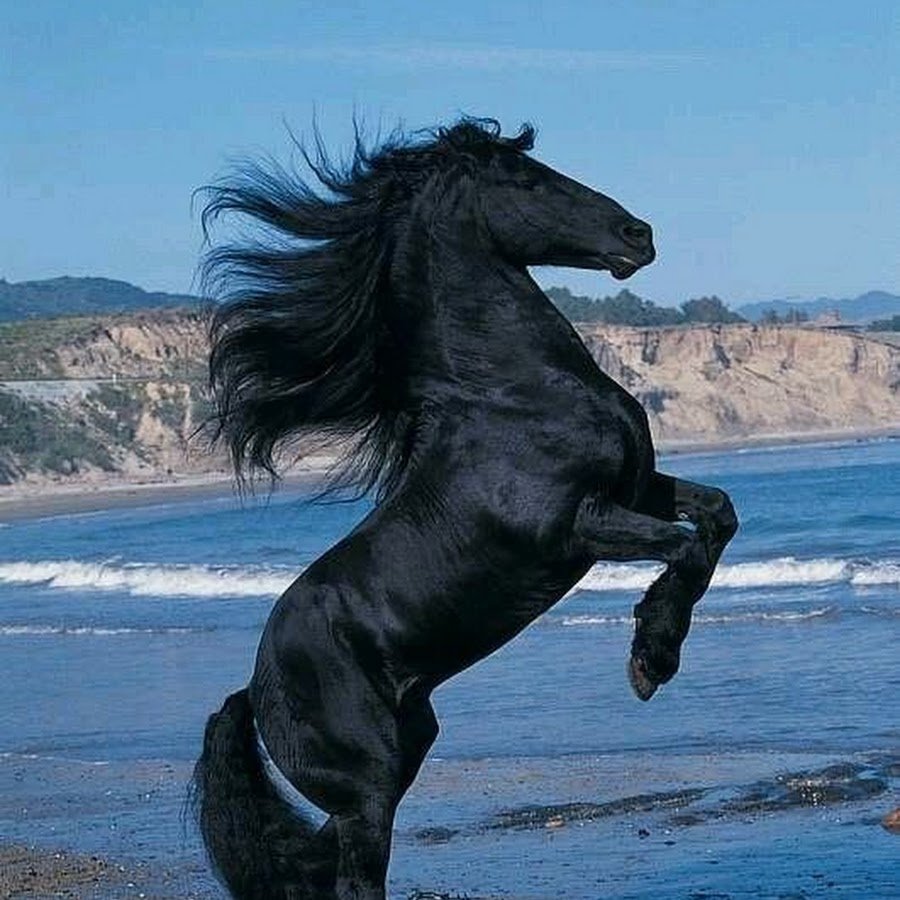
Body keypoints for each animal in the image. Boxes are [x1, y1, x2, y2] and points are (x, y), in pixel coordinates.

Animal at [193, 117, 738, 900]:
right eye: (531, 180)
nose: (639, 235)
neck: (509, 392)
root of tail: (256, 687)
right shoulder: (578, 525)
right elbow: (685, 546)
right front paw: (650, 660)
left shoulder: (636, 489)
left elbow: (718, 516)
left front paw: (655, 652)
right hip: (369, 784)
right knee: (353, 876)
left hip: (402, 755)